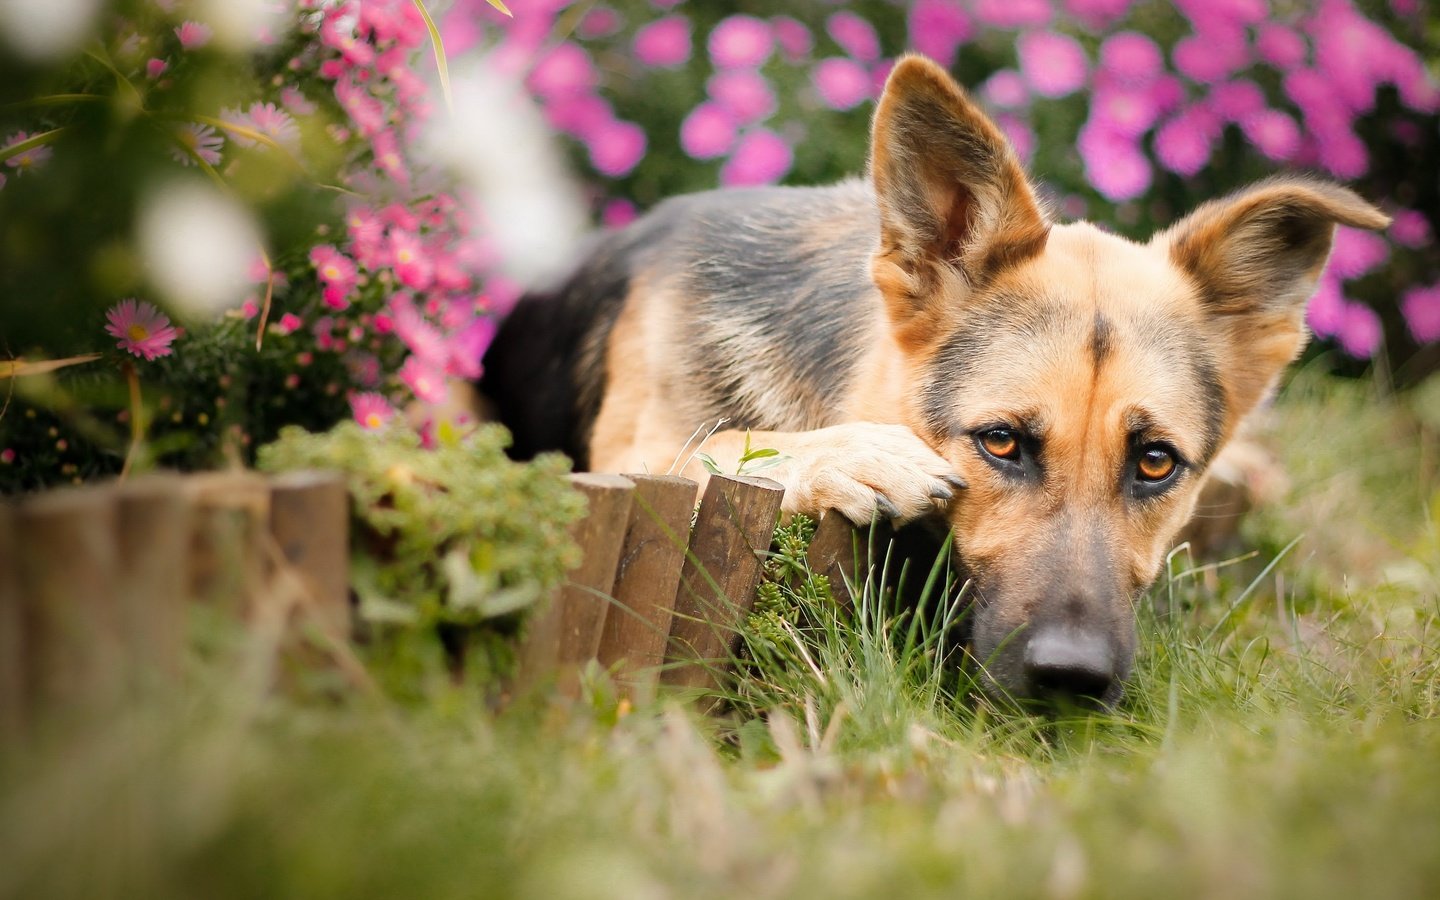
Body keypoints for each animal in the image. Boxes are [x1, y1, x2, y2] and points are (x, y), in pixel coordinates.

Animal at [480, 54, 1382, 708]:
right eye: (1002, 443)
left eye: (1155, 462)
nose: (1073, 681)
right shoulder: (632, 456)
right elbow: (724, 439)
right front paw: (849, 453)